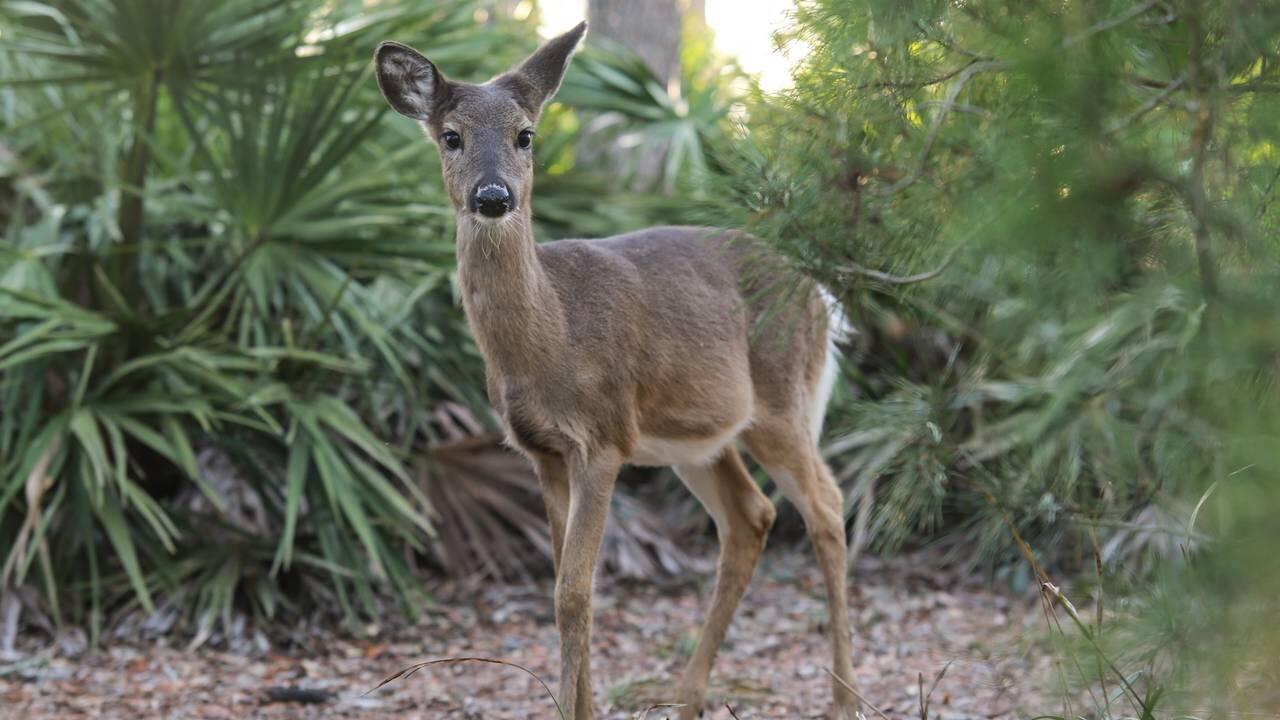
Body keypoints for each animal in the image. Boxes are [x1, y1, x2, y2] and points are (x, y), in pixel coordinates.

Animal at [374, 22, 860, 720]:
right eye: (451, 136)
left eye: (527, 134)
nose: (493, 196)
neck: (551, 336)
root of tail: (820, 295)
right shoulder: (542, 451)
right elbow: (563, 583)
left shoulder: (602, 438)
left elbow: (574, 592)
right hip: (698, 438)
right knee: (751, 517)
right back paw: (688, 696)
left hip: (782, 402)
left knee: (826, 507)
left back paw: (843, 697)